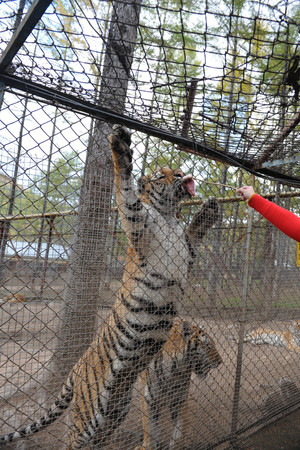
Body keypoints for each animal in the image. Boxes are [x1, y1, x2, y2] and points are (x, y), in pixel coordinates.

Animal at [135, 318, 221, 450]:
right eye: (208, 346)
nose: (220, 361)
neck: (174, 370)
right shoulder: (149, 399)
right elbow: (149, 428)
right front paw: (147, 446)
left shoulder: (179, 400)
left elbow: (180, 431)